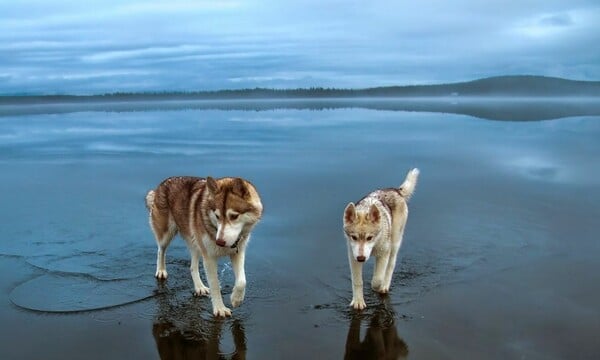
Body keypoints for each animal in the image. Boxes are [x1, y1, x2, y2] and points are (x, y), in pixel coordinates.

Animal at [145, 176, 262, 316]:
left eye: (234, 216)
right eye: (217, 216)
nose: (219, 242)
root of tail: (163, 183)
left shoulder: (237, 252)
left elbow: (242, 281)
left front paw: (236, 299)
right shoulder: (209, 258)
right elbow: (215, 284)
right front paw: (219, 308)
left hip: (196, 243)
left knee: (192, 267)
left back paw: (199, 287)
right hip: (166, 235)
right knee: (160, 250)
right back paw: (161, 270)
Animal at [340, 169, 420, 310]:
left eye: (369, 237)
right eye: (354, 237)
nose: (362, 258)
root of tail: (395, 190)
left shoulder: (383, 253)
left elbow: (377, 279)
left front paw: (378, 285)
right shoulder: (353, 256)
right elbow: (357, 281)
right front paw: (358, 301)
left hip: (394, 243)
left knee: (391, 265)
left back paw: (385, 285)